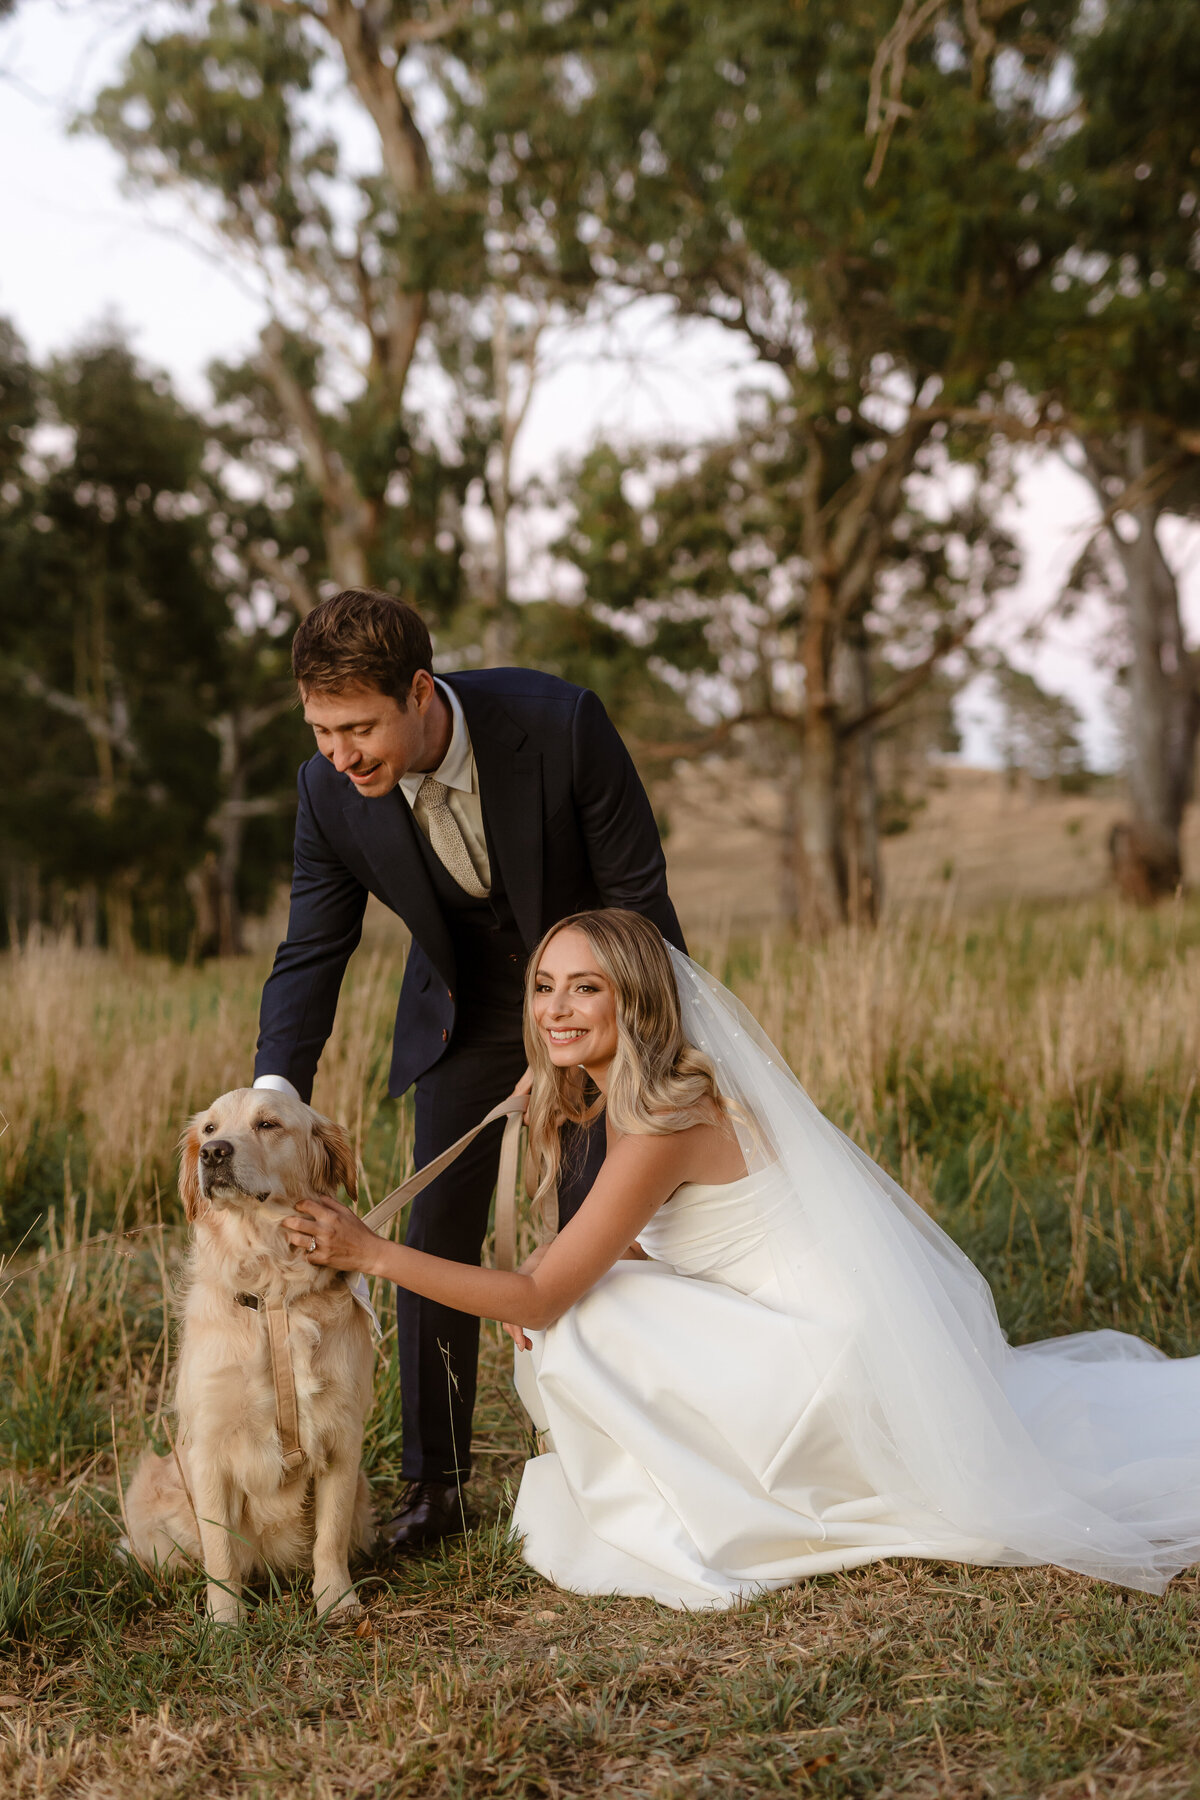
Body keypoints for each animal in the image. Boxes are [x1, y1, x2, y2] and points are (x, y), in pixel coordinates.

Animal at [124, 1087, 372, 1627]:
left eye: (268, 1124)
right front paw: (224, 1622)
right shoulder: (209, 1449)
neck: (273, 1292)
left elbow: (331, 1534)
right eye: (210, 1129)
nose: (214, 1154)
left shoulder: (344, 1438)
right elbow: (219, 1552)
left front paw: (337, 1601)